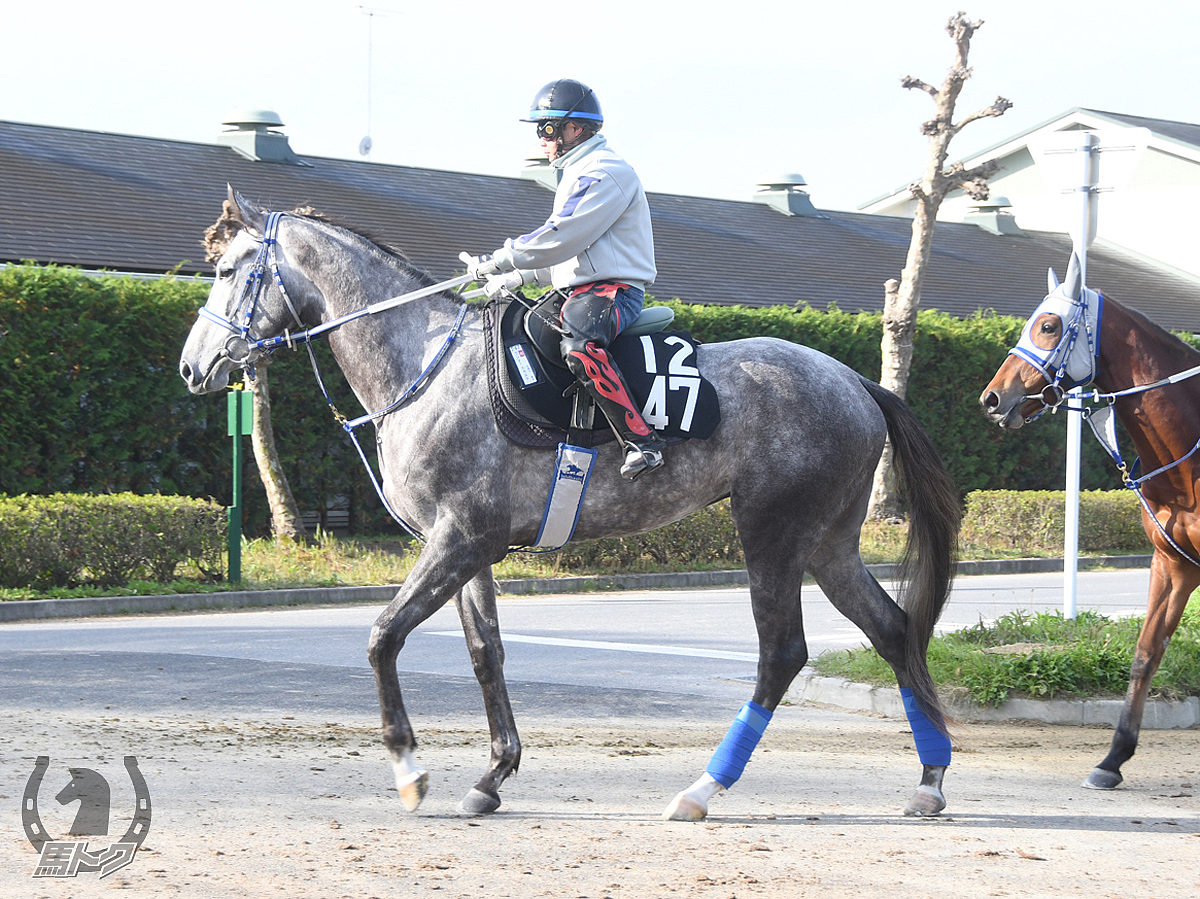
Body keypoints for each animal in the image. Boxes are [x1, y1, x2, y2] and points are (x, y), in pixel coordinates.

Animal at [177, 189, 960, 820]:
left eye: (229, 270)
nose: (191, 366)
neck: (425, 363)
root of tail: (858, 382)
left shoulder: (458, 539)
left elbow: (382, 637)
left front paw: (409, 768)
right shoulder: (467, 546)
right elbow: (485, 652)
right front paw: (492, 775)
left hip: (771, 532)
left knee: (782, 653)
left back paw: (703, 788)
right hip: (829, 543)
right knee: (893, 630)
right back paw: (929, 779)